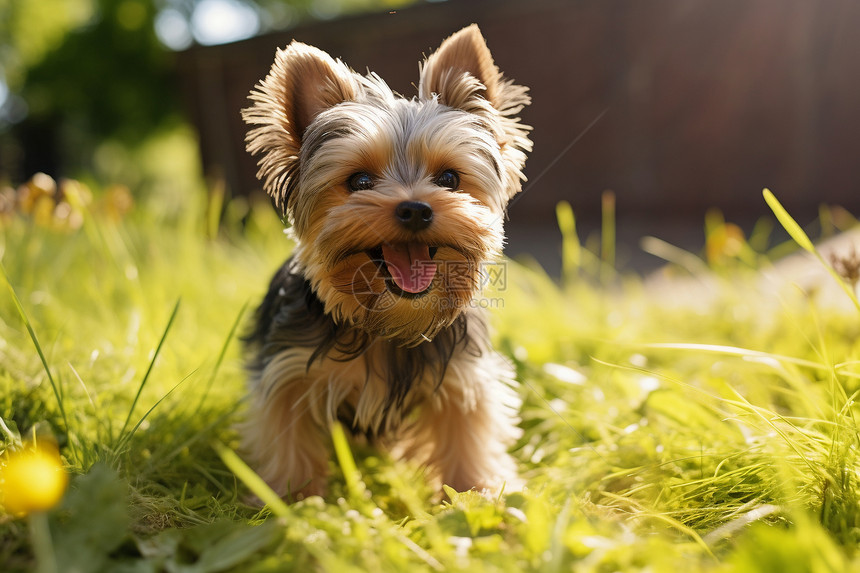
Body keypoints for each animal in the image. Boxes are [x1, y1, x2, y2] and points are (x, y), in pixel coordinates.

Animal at [237, 24, 532, 498]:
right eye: (359, 181)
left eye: (449, 178)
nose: (415, 209)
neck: (387, 324)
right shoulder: (287, 368)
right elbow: (287, 433)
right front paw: (291, 497)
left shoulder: (463, 375)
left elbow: (467, 430)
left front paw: (477, 491)